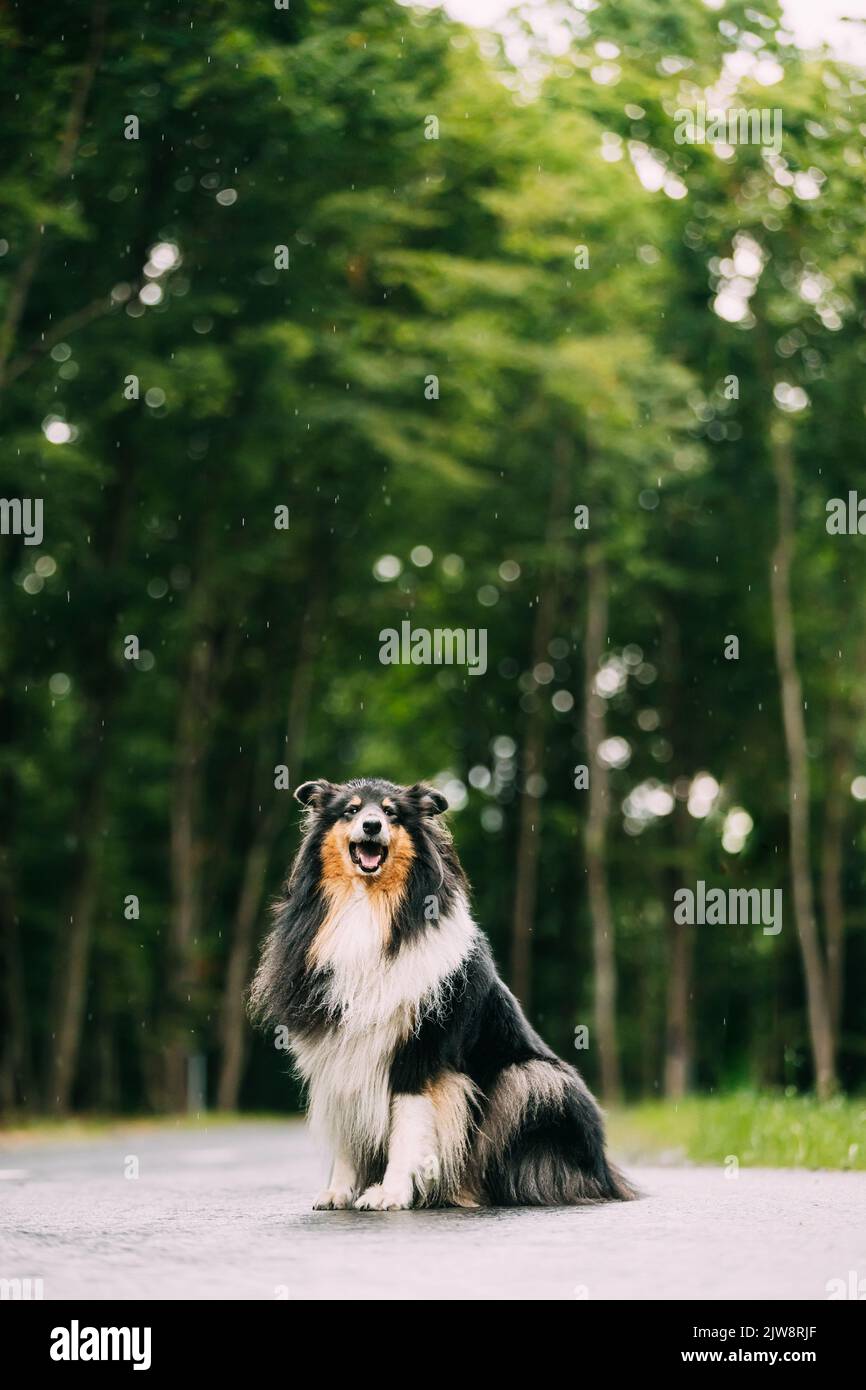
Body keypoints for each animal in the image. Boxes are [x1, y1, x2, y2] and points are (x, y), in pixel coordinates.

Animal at [247, 778, 633, 1212]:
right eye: (350, 810)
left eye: (391, 812)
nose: (371, 826)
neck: (369, 905)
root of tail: (607, 1175)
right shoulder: (338, 1050)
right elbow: (347, 1131)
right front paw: (339, 1192)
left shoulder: (421, 1053)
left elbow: (408, 1128)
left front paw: (391, 1192)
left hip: (533, 1079)